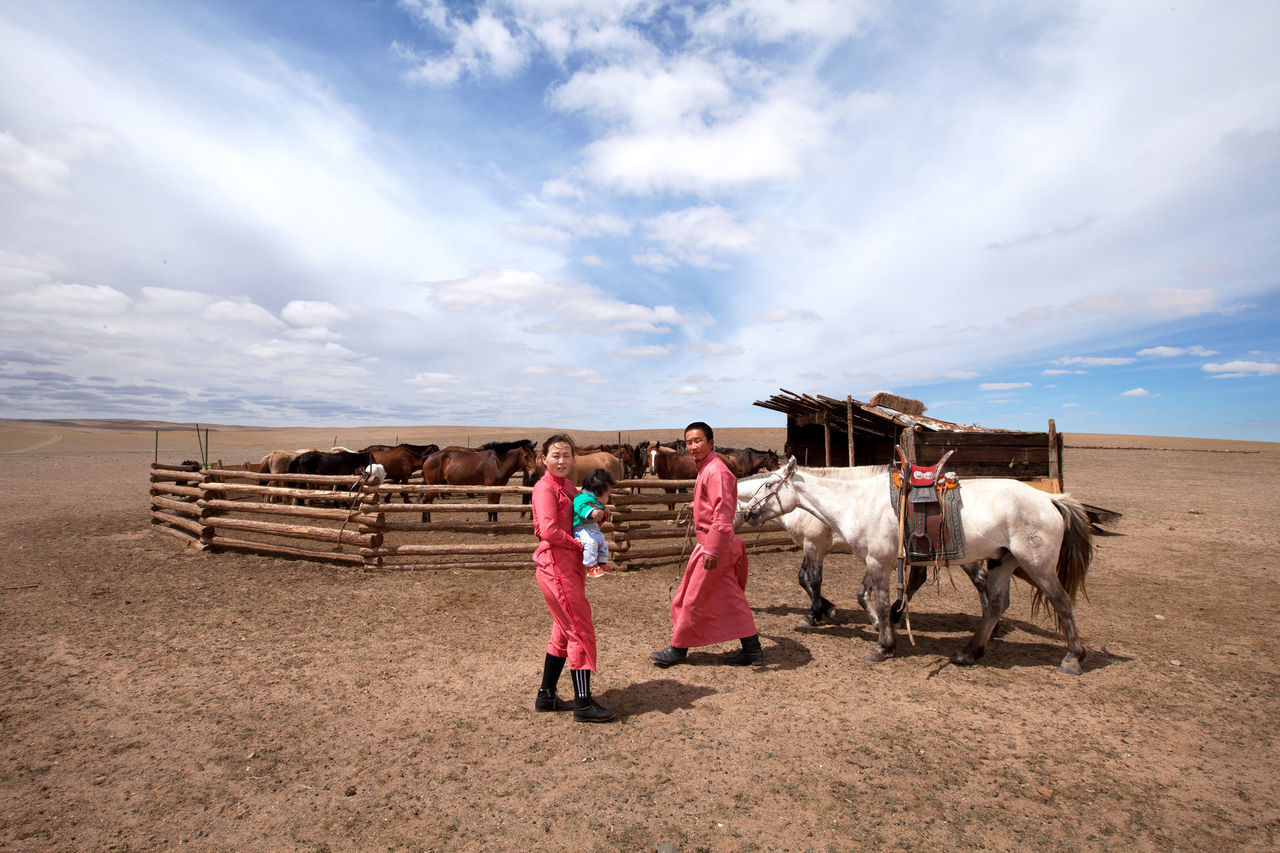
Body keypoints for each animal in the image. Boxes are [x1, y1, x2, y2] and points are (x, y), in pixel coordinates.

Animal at [747, 458, 1095, 671]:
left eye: (770, 485)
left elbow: (877, 600)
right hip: (1002, 560)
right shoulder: (877, 560)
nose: (750, 512)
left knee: (1061, 602)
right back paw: (970, 652)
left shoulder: (871, 559)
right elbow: (862, 594)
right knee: (997, 602)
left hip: (1037, 563)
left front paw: (881, 645)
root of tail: (1050, 499)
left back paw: (1073, 658)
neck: (856, 502)